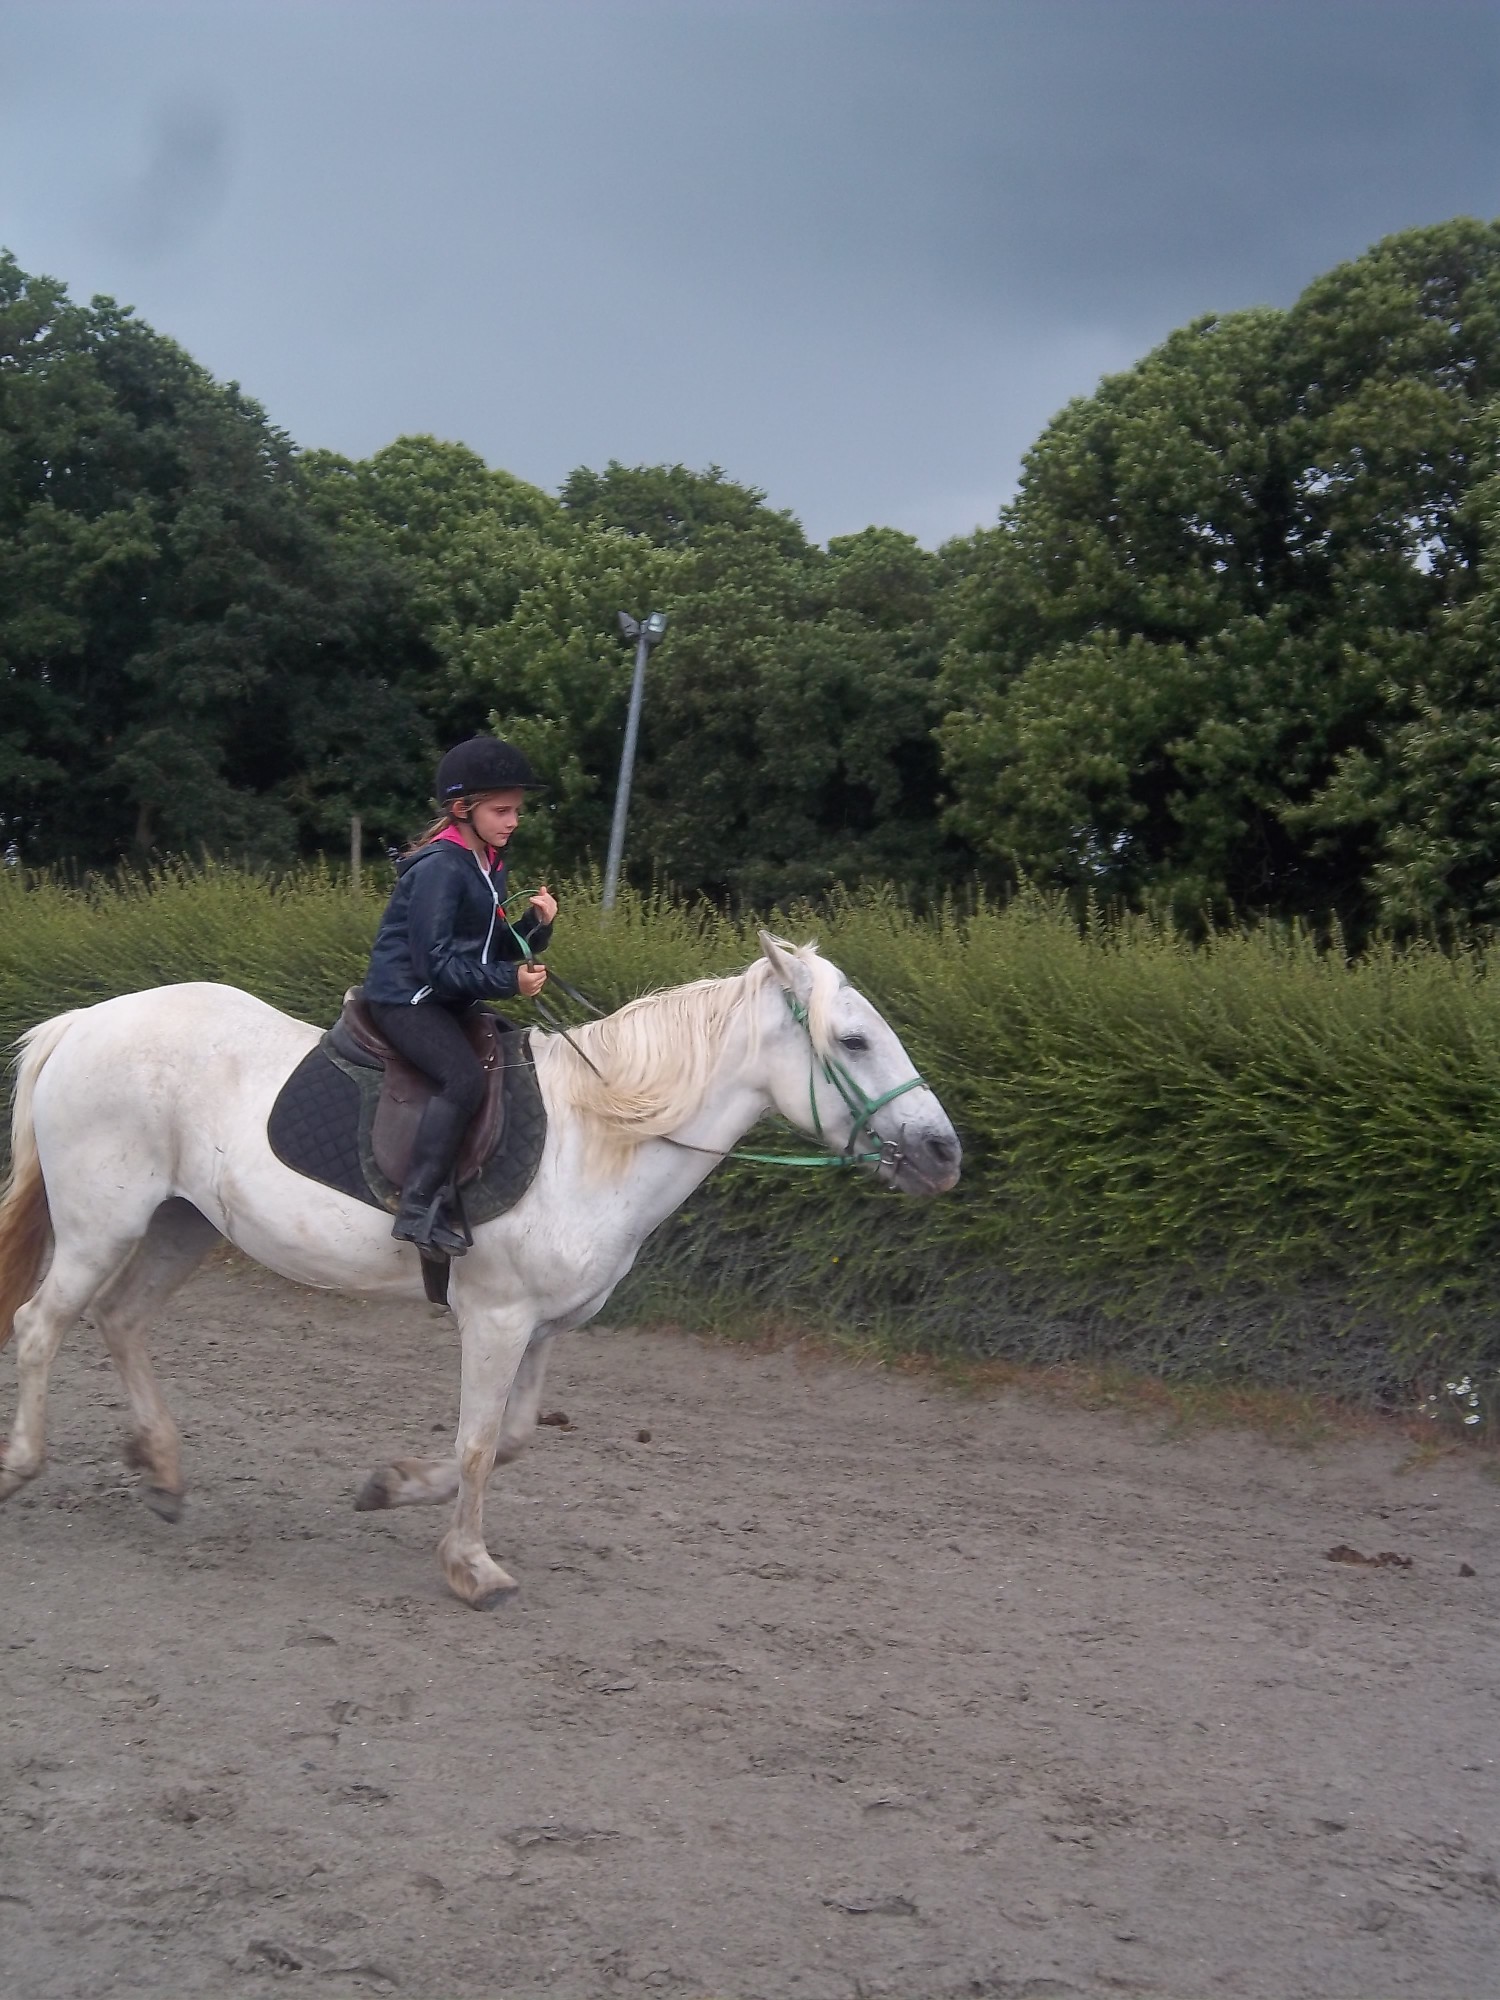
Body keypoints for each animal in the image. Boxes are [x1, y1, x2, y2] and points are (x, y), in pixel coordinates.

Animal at [0, 932, 960, 1607]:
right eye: (853, 1040)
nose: (943, 1152)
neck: (599, 1132)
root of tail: (84, 1022)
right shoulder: (495, 1319)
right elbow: (476, 1443)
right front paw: (471, 1565)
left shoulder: (542, 1327)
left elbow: (514, 1438)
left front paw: (390, 1486)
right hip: (101, 1226)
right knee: (42, 1326)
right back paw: (23, 1464)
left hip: (181, 1226)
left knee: (121, 1320)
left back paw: (160, 1471)